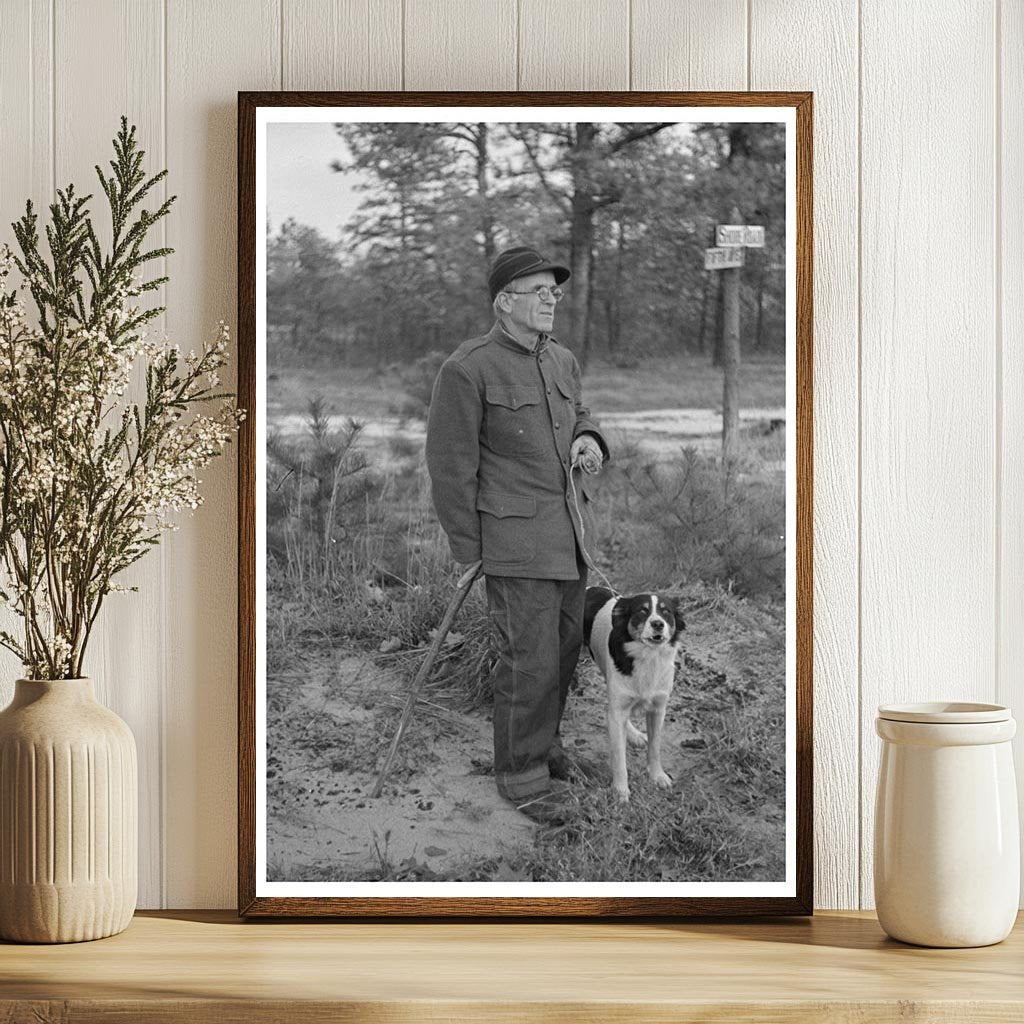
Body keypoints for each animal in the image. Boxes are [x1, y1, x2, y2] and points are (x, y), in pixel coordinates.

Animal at [581, 589, 684, 802]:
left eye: (666, 612)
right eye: (642, 611)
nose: (658, 624)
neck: (648, 657)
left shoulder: (658, 709)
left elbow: (654, 747)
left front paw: (658, 776)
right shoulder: (618, 707)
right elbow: (619, 758)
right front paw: (621, 791)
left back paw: (634, 734)